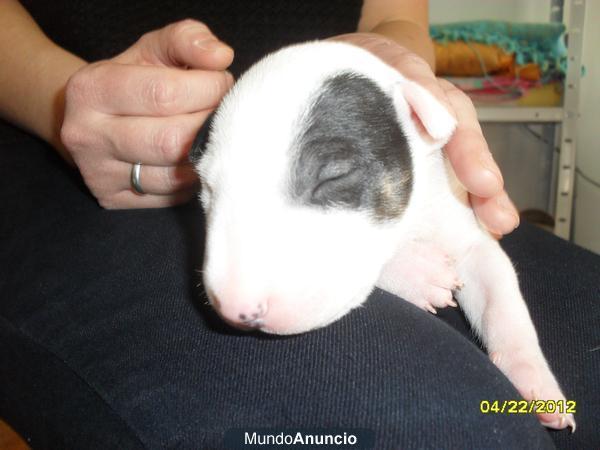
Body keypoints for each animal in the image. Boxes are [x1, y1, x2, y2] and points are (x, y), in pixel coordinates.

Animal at [192, 42, 576, 432]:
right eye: (207, 188)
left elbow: (500, 299)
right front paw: (417, 274)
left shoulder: (460, 222)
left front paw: (535, 380)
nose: (236, 309)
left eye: (333, 177)